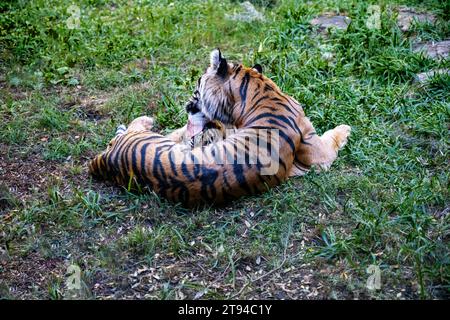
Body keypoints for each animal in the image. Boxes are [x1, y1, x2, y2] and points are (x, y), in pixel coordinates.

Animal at [89, 48, 352, 206]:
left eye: (197, 84)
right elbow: (332, 138)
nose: (187, 105)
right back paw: (147, 119)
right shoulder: (317, 150)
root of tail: (107, 159)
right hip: (144, 137)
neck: (261, 89)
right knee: (139, 127)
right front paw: (346, 128)